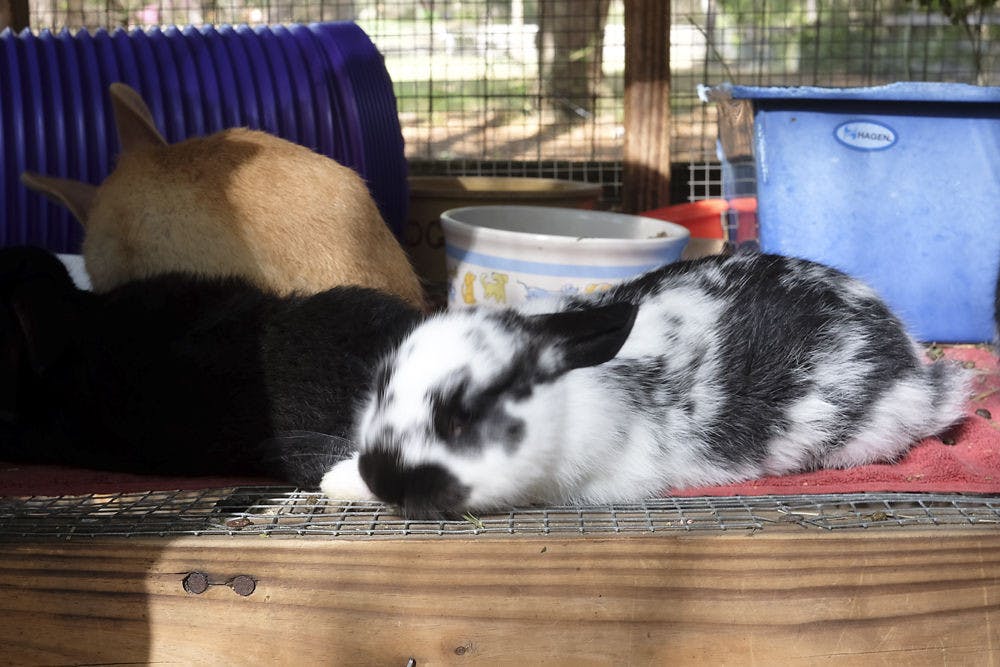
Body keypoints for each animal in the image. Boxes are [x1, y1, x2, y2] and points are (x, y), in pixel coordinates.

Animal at [319, 251, 971, 519]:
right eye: (381, 390)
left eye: (463, 415)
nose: (383, 476)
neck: (568, 399)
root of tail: (915, 363)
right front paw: (338, 482)